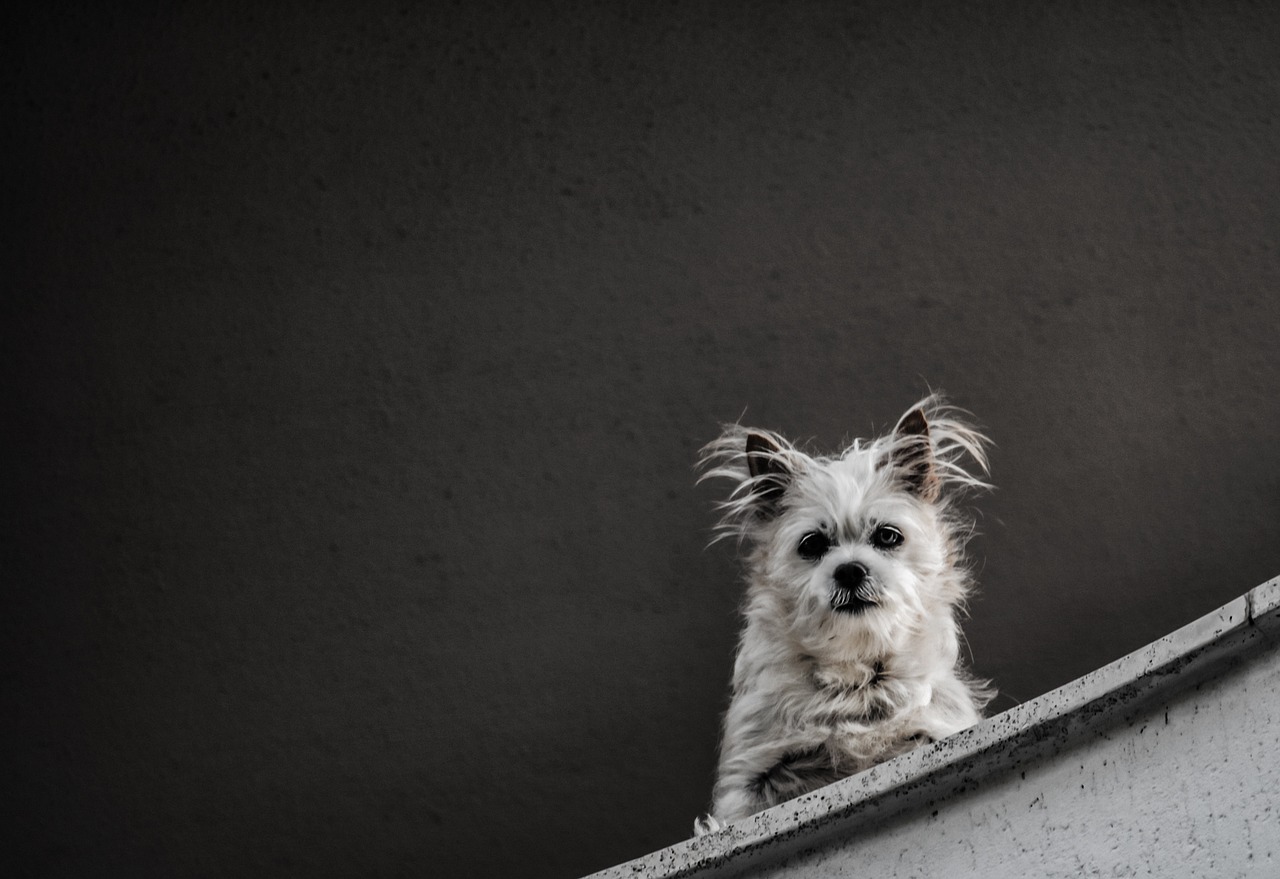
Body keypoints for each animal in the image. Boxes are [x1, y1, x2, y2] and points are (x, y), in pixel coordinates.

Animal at [696, 396, 993, 834]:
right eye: (812, 544)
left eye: (887, 536)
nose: (850, 570)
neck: (855, 677)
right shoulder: (752, 779)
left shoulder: (933, 731)